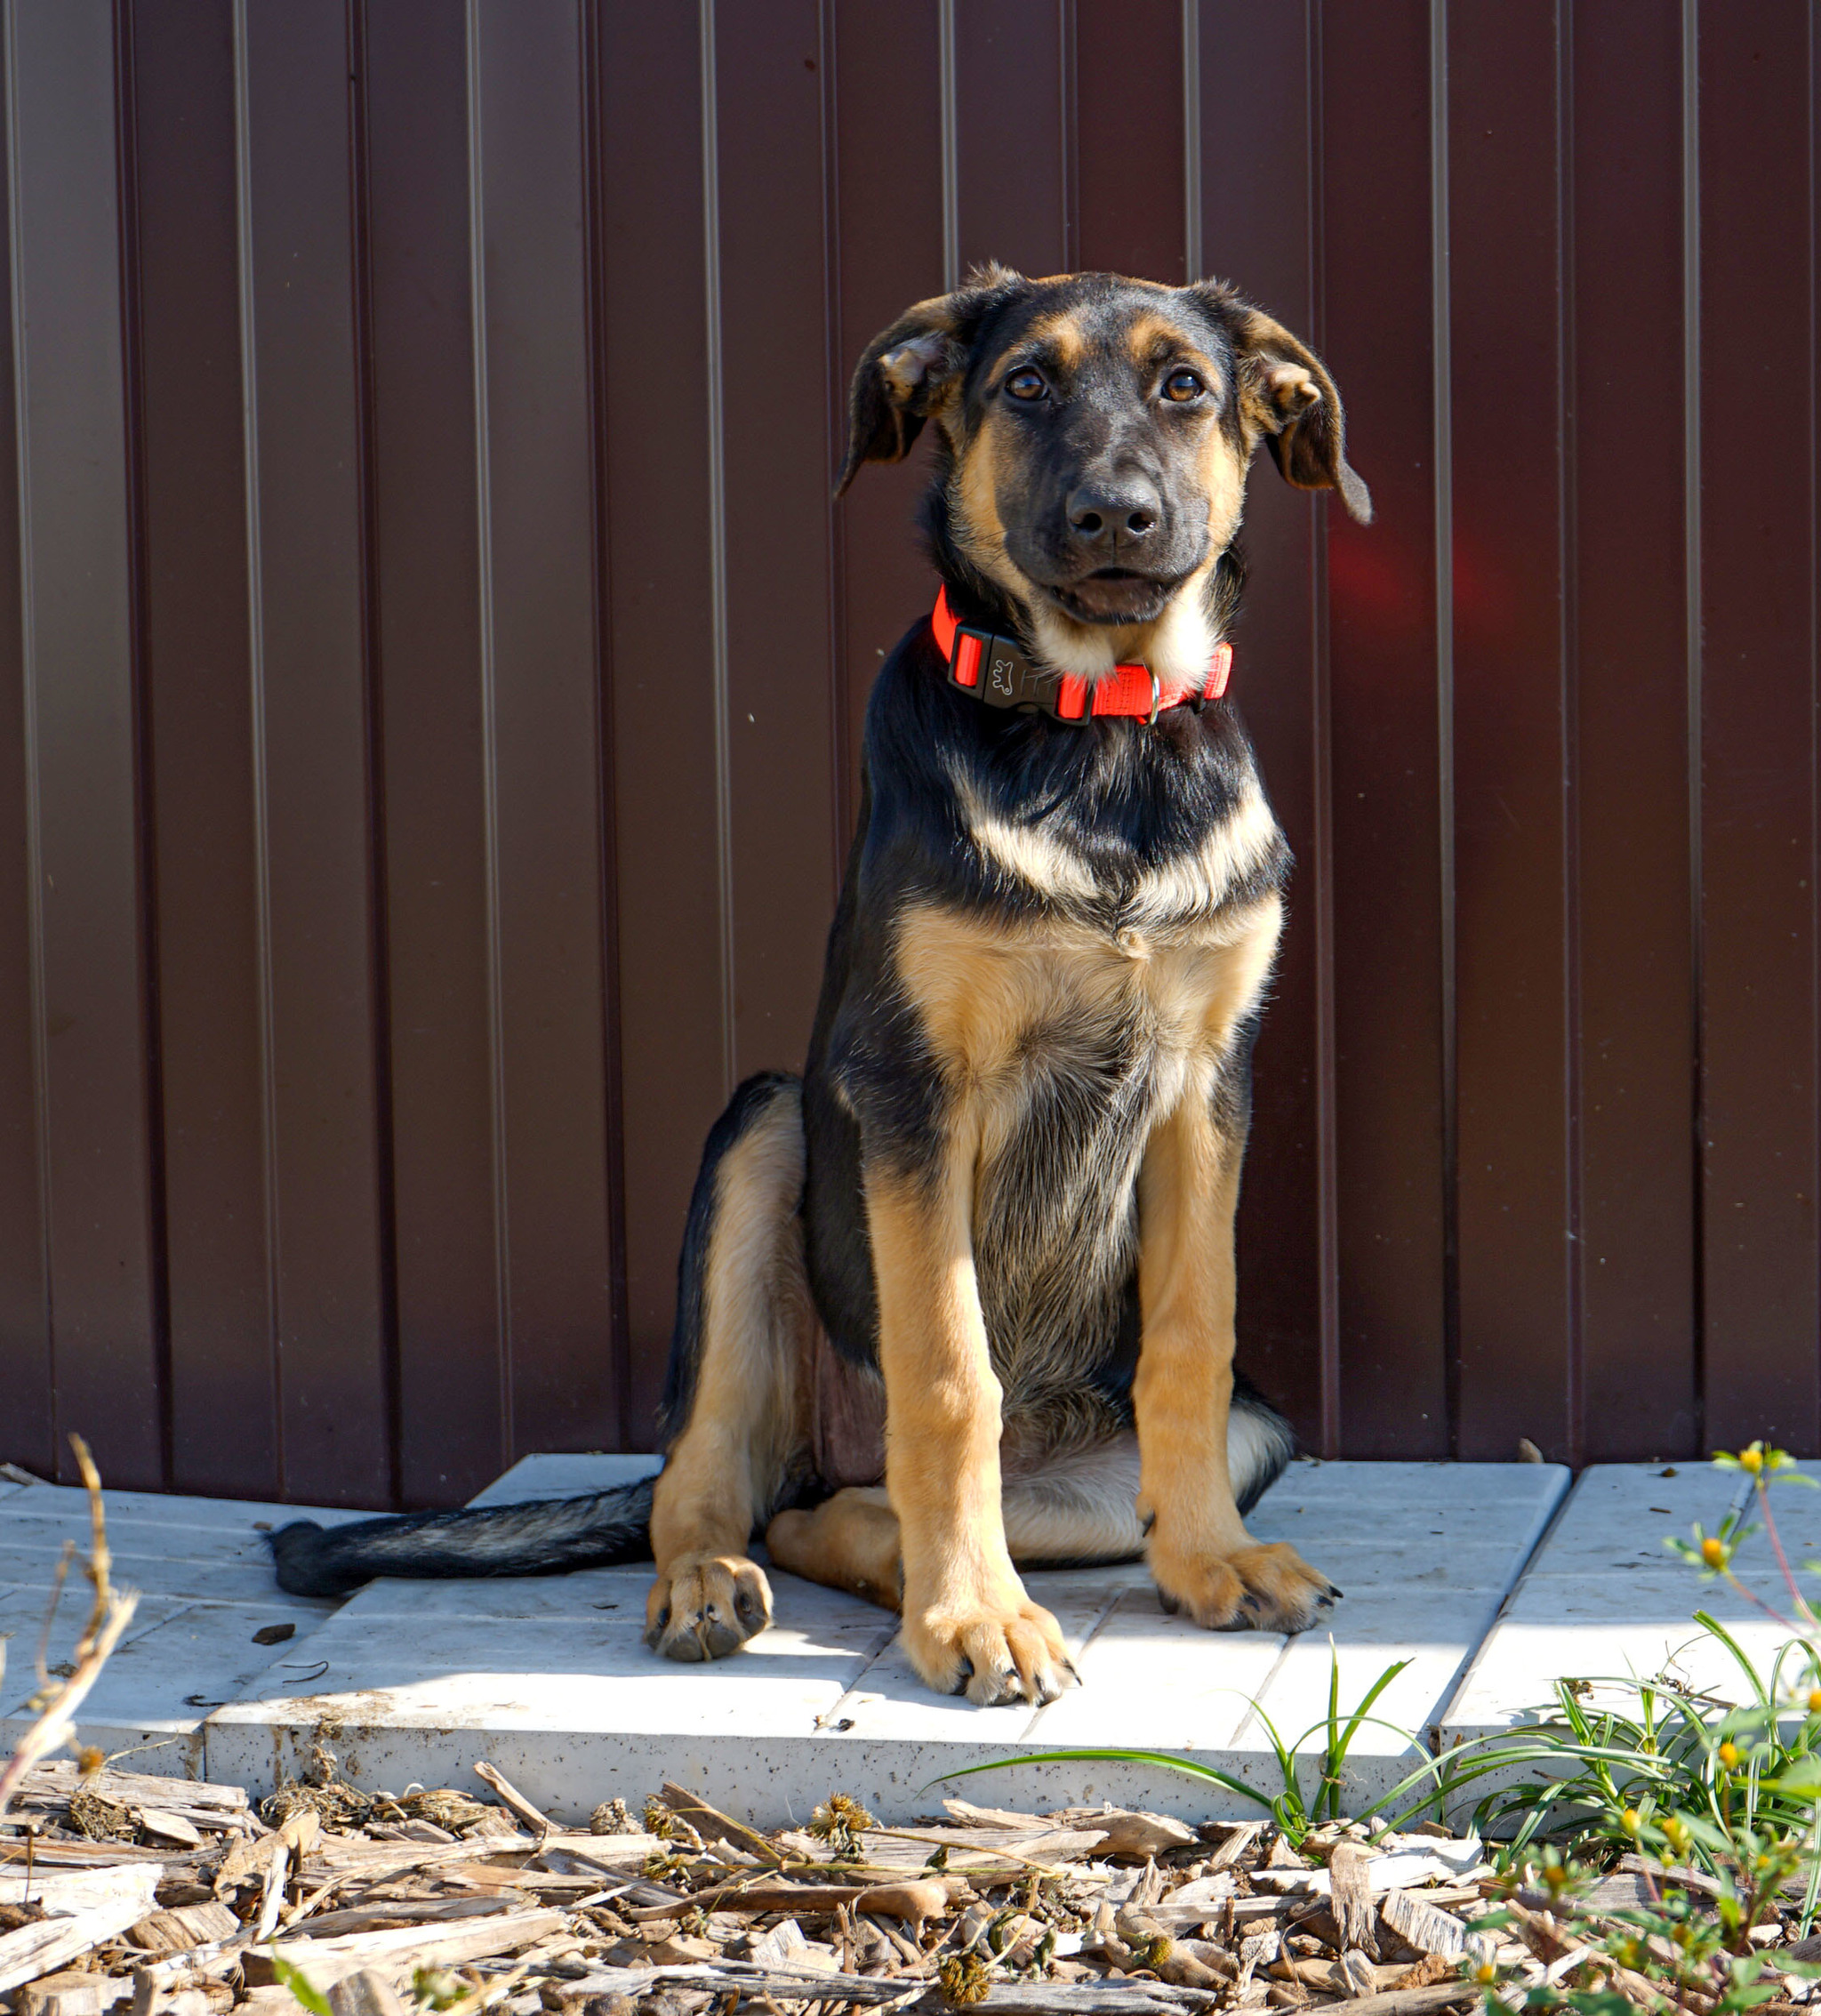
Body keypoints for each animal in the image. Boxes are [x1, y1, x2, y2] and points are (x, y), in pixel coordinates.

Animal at [274, 268, 1371, 1709]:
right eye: (1025, 383)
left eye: (1185, 385)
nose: (1116, 516)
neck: (1097, 729)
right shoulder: (909, 1084)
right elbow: (949, 1371)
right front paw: (975, 1619)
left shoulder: (1206, 1083)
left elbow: (1192, 1339)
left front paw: (1207, 1563)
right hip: (765, 1132)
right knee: (729, 1482)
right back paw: (740, 1586)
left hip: (1215, 1431)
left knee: (846, 1507)